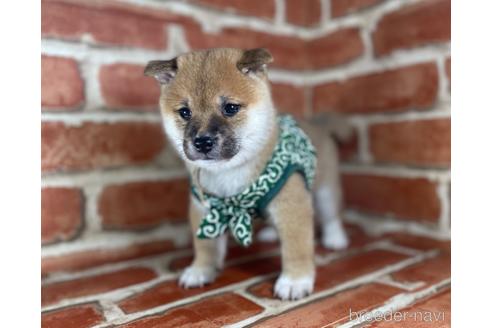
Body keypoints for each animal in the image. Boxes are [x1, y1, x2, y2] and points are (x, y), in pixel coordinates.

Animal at [144, 47, 348, 302]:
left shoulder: (292, 206)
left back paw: (335, 238)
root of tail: (317, 123)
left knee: (331, 215)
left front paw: (295, 280)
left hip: (325, 190)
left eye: (230, 108)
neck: (229, 173)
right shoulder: (206, 209)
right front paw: (200, 270)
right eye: (184, 112)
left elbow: (296, 246)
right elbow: (205, 246)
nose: (202, 141)